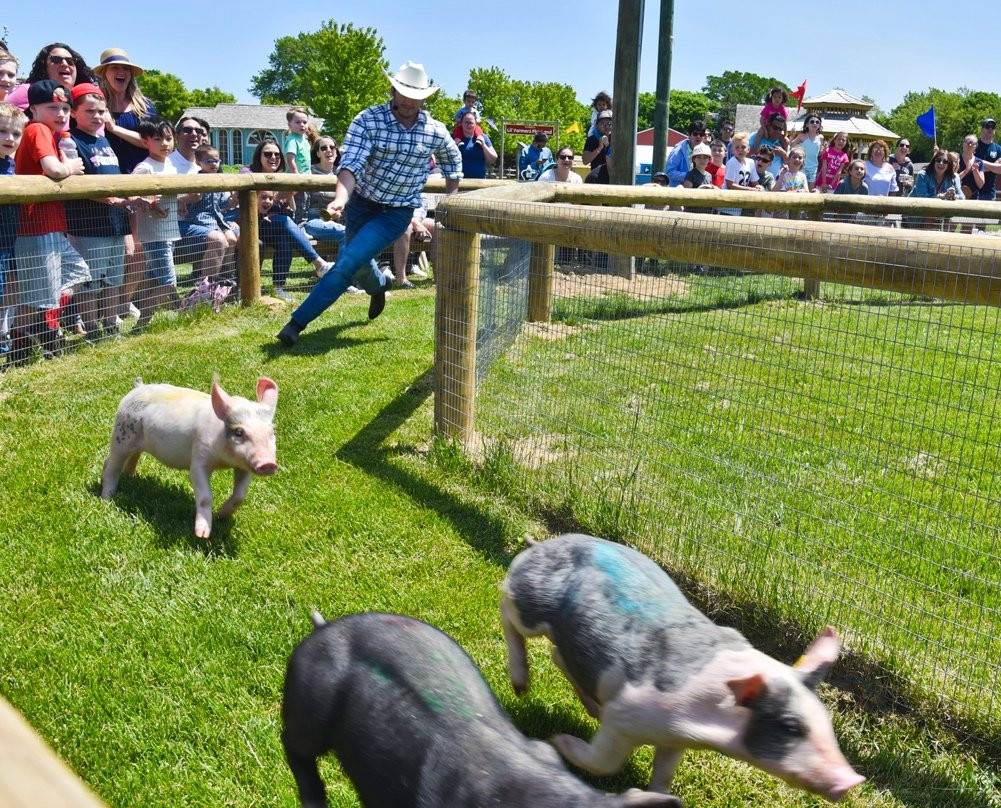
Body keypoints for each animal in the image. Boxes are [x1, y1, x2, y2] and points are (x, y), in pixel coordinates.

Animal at [100, 378, 278, 540]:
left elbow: (240, 496)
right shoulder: (199, 458)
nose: (268, 464)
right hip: (121, 435)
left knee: (127, 458)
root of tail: (138, 387)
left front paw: (221, 516)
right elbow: (205, 496)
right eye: (239, 432)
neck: (224, 461)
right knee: (112, 466)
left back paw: (130, 477)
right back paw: (107, 498)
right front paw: (202, 535)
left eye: (271, 432)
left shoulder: (244, 466)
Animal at [504, 536, 864, 800]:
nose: (853, 779)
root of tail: (548, 543)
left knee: (557, 655)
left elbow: (664, 773)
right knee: (506, 605)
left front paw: (661, 795)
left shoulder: (675, 739)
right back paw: (520, 687)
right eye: (791, 726)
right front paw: (558, 741)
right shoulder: (625, 715)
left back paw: (592, 707)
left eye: (826, 720)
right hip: (529, 604)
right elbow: (604, 762)